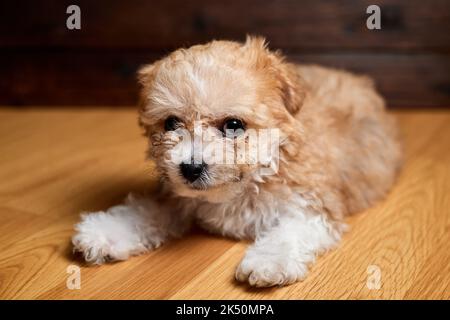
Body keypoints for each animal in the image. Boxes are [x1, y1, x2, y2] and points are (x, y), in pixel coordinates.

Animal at [72, 37, 402, 288]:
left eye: (233, 125)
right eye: (171, 123)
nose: (190, 168)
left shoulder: (313, 203)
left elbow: (292, 230)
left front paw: (270, 260)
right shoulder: (178, 195)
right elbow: (147, 210)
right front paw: (106, 231)